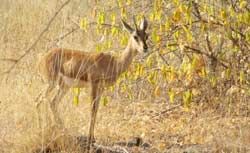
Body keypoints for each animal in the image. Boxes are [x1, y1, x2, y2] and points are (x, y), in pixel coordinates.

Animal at [37, 17, 149, 151]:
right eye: (135, 36)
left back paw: (63, 130)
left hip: (64, 87)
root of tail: (42, 59)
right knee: (39, 100)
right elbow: (93, 109)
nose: (145, 48)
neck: (114, 62)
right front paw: (90, 139)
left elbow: (96, 109)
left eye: (146, 35)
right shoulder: (94, 85)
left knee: (52, 102)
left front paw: (93, 138)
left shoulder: (101, 88)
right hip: (51, 84)